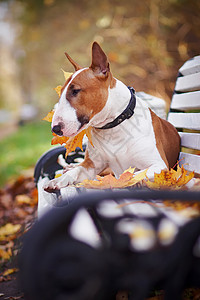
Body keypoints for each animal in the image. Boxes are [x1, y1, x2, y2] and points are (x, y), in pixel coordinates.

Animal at [44, 41, 180, 192]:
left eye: (75, 91)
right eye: (61, 92)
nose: (55, 129)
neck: (113, 126)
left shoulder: (160, 166)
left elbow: (131, 174)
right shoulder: (92, 165)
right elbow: (78, 171)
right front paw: (58, 180)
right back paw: (69, 167)